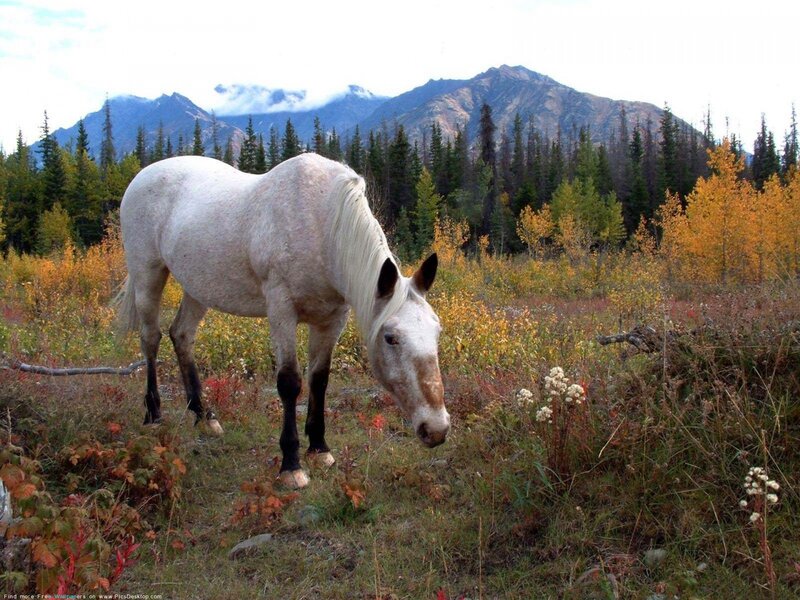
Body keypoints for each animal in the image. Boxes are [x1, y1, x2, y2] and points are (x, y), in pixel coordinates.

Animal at [115, 153, 449, 489]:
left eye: (437, 333)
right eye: (391, 338)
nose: (437, 429)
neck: (322, 224)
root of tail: (142, 176)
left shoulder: (331, 319)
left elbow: (319, 379)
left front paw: (320, 449)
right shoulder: (281, 310)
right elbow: (290, 382)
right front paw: (291, 465)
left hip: (197, 288)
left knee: (181, 335)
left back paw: (203, 416)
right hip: (148, 275)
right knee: (151, 338)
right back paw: (153, 416)